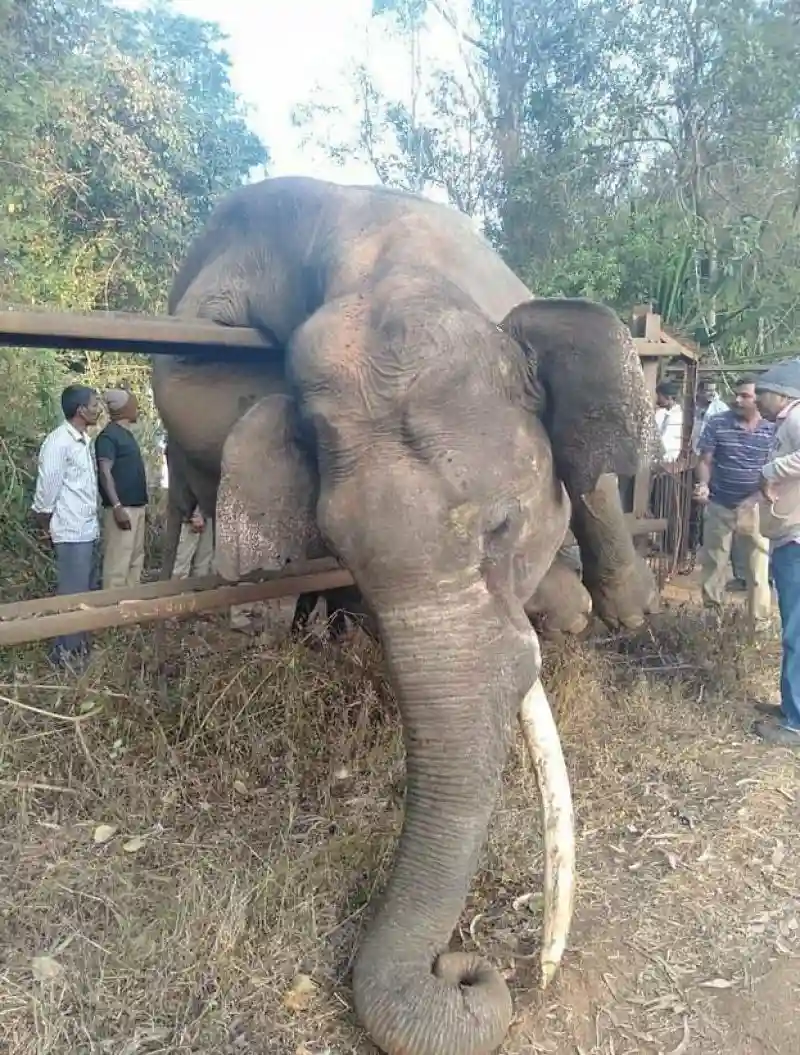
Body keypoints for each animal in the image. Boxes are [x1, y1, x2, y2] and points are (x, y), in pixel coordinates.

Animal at [153, 175, 662, 1055]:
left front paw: (612, 610)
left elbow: (590, 480)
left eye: (501, 526)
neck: (387, 264)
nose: (464, 966)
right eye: (343, 551)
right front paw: (564, 608)